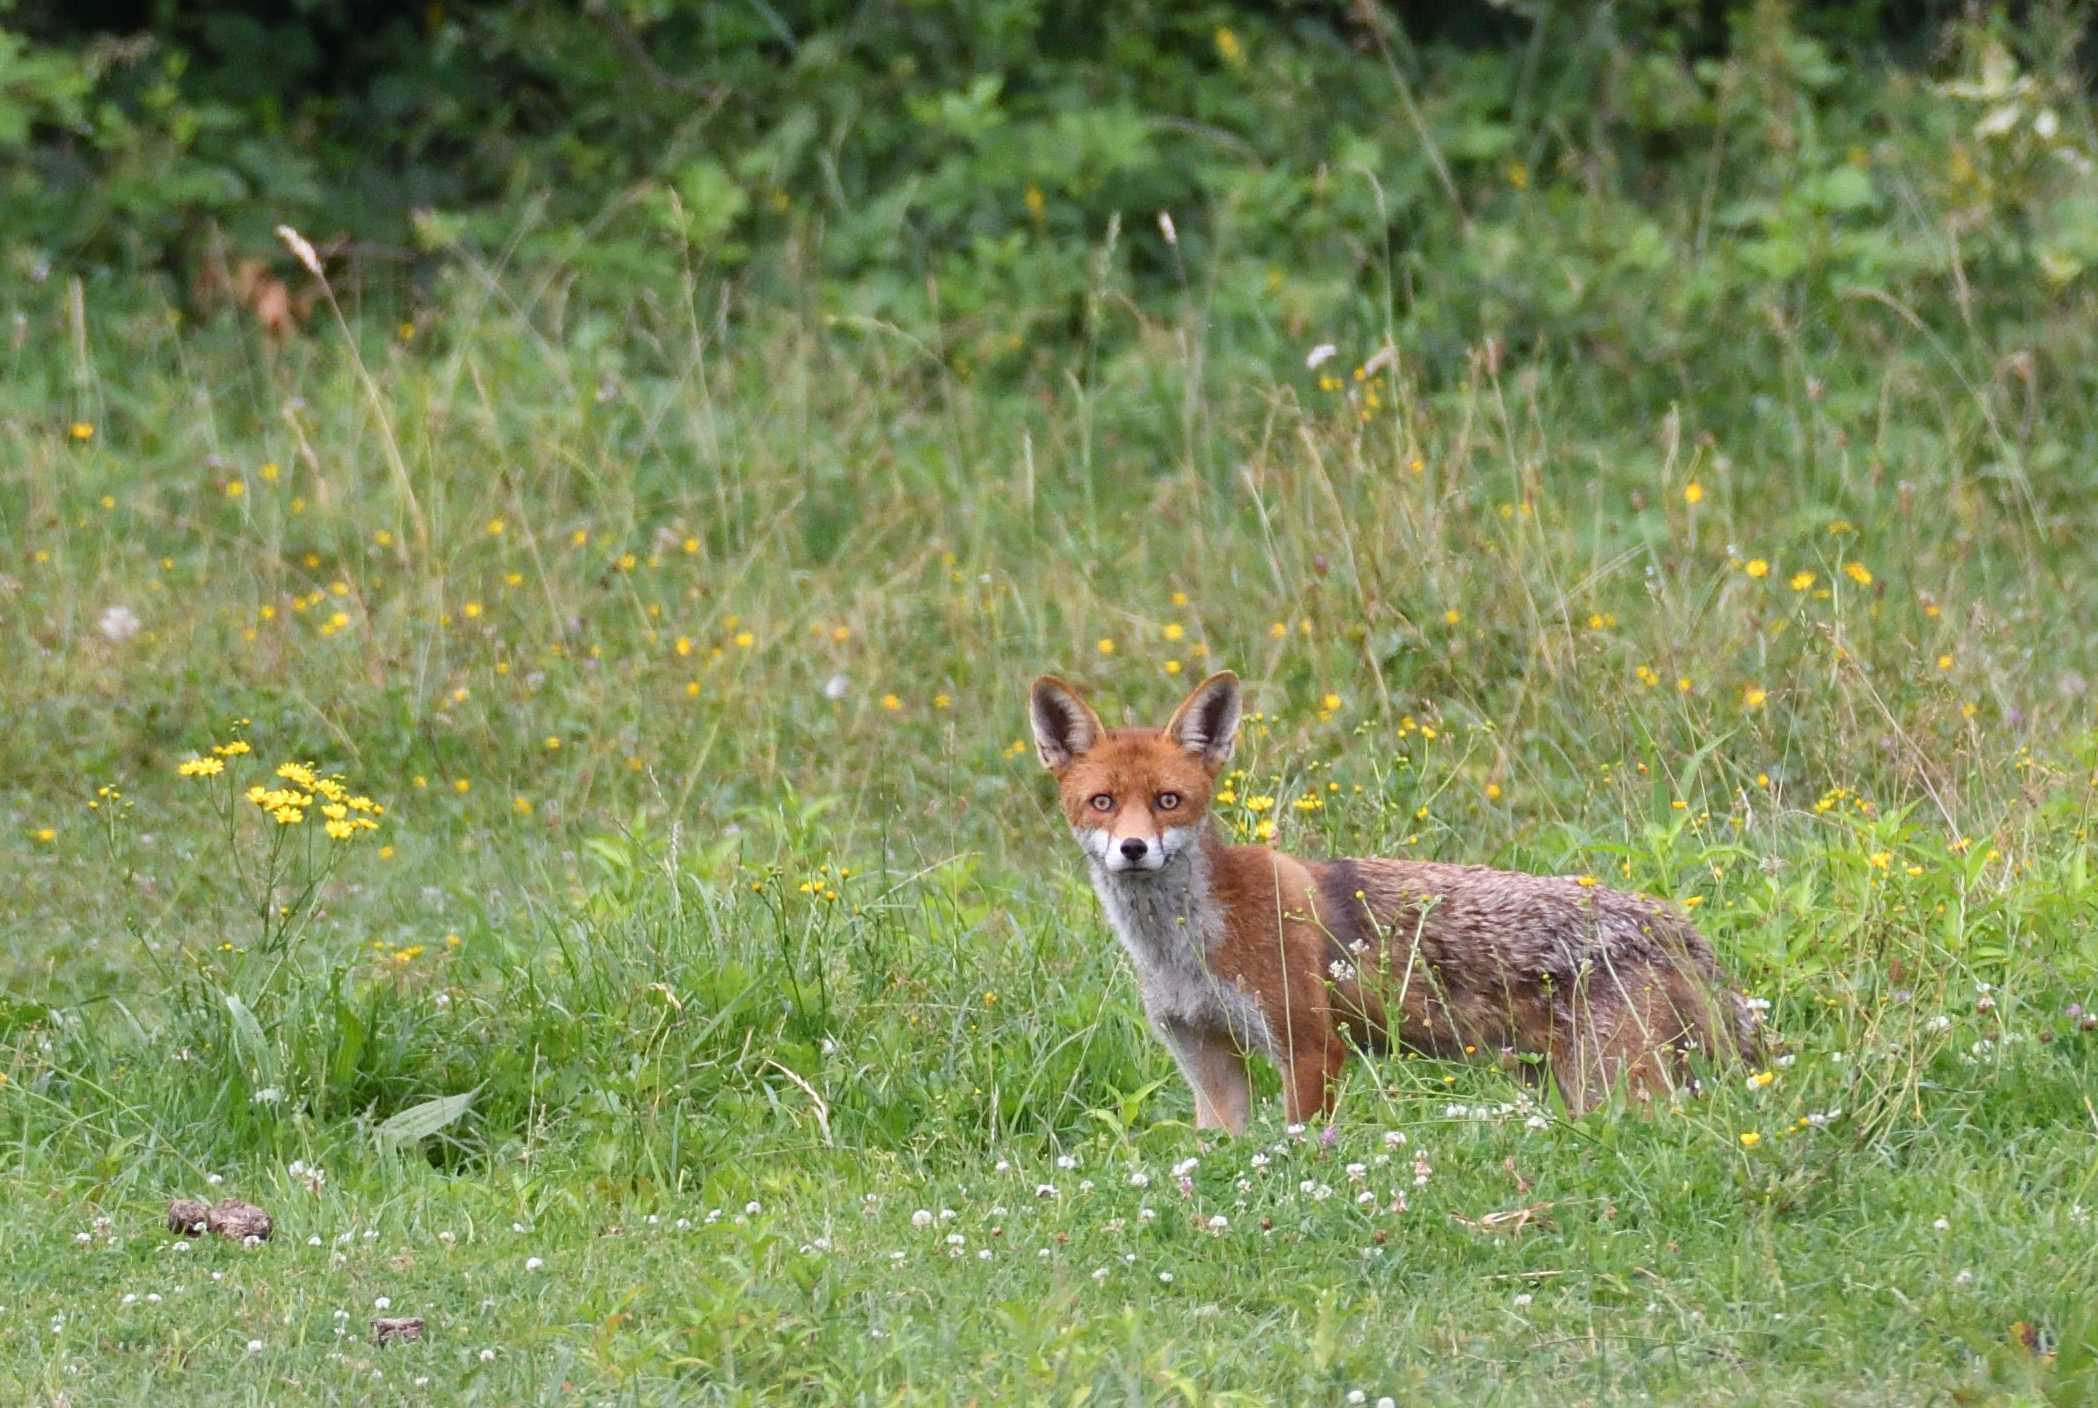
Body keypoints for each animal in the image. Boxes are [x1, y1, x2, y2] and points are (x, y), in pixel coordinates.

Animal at [1030, 669, 1760, 1134]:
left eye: (1168, 801)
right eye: (1102, 802)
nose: (1133, 849)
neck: (1186, 948)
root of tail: (1675, 926)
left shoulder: (1311, 1047)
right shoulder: (1205, 1060)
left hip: (1615, 1090)